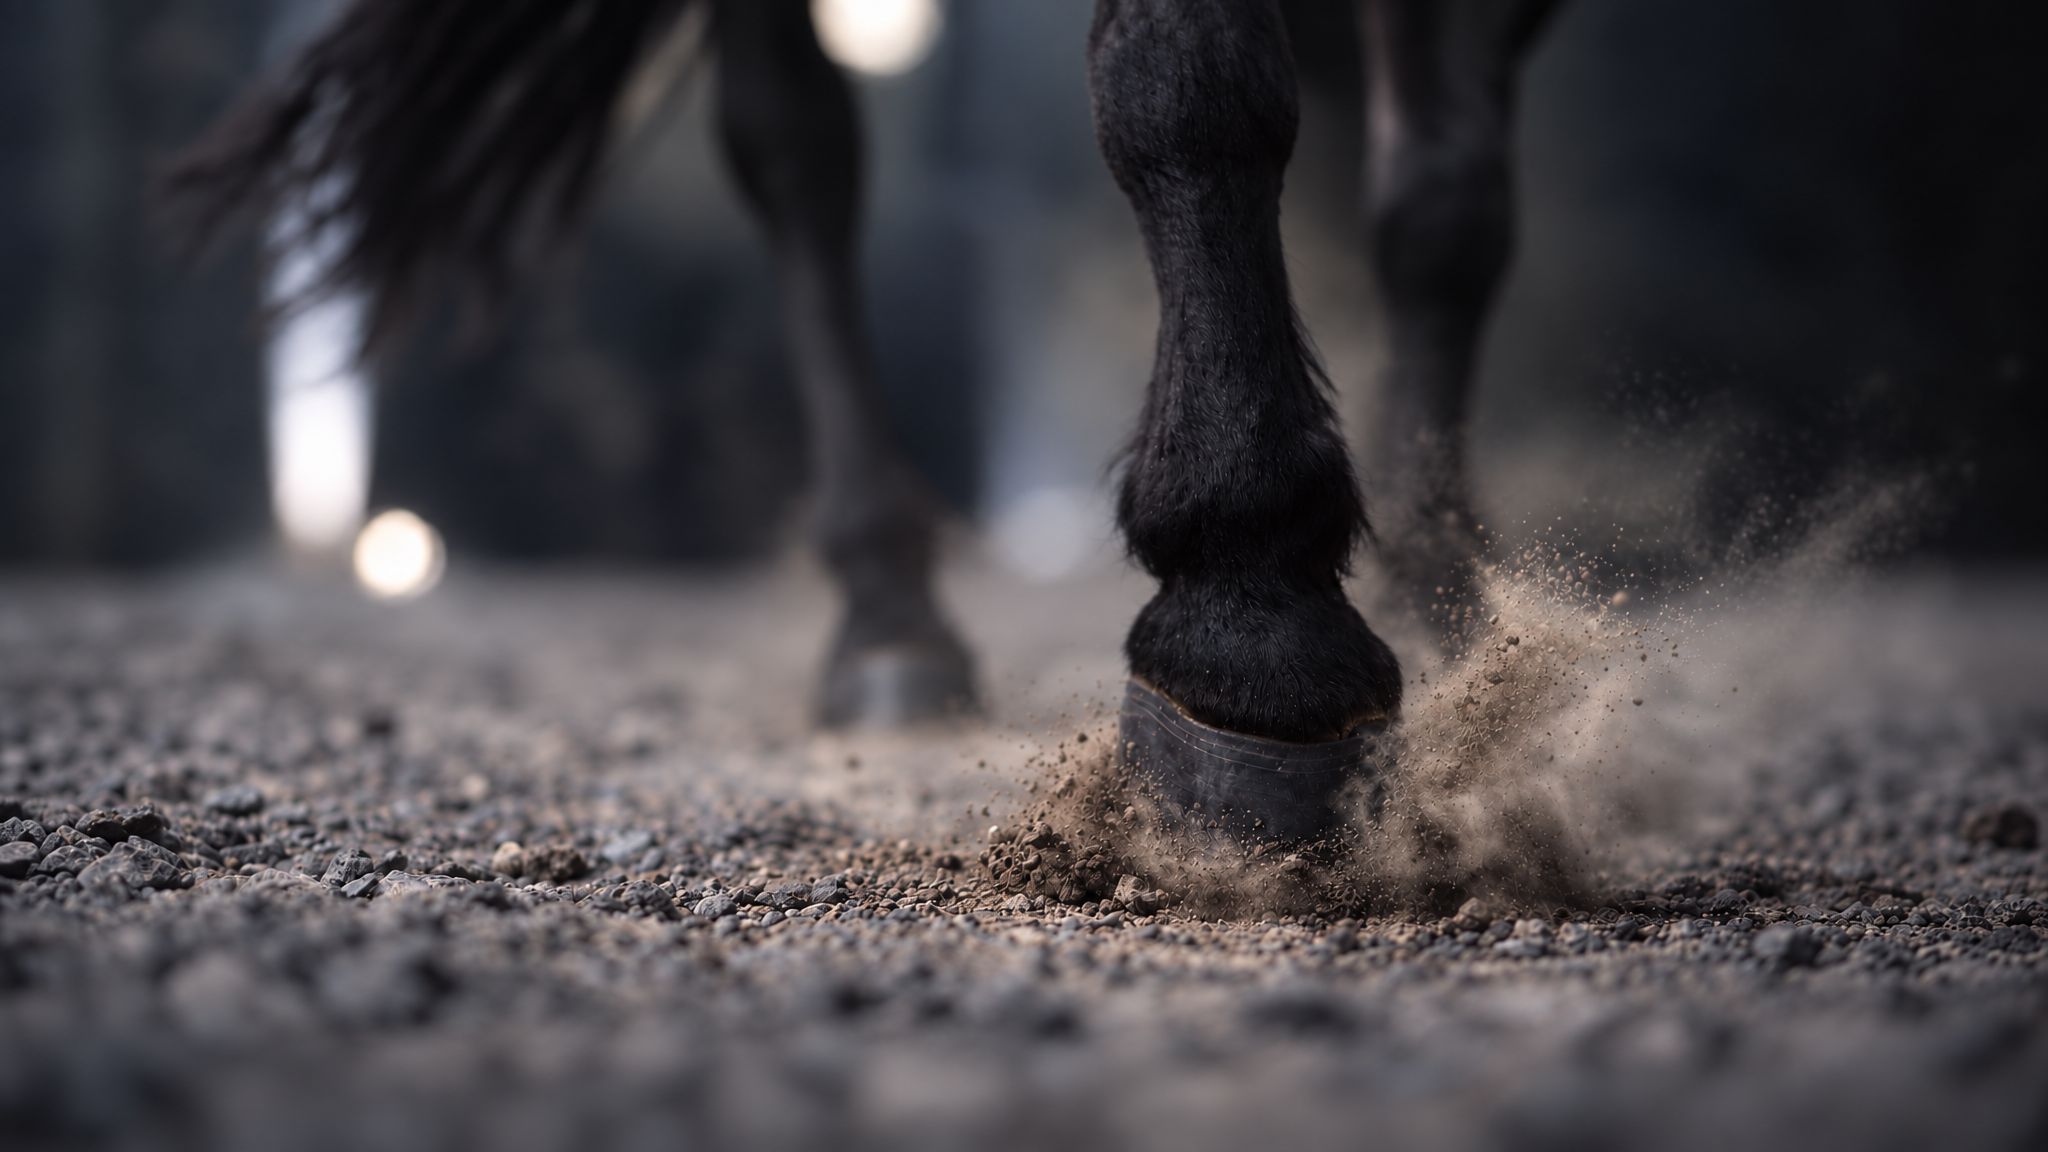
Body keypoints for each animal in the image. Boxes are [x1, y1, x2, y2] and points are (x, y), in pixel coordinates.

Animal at [172, 0, 1558, 843]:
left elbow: (1444, 196)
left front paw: (1440, 585)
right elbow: (1189, 81)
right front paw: (1252, 601)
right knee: (795, 141)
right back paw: (887, 611)